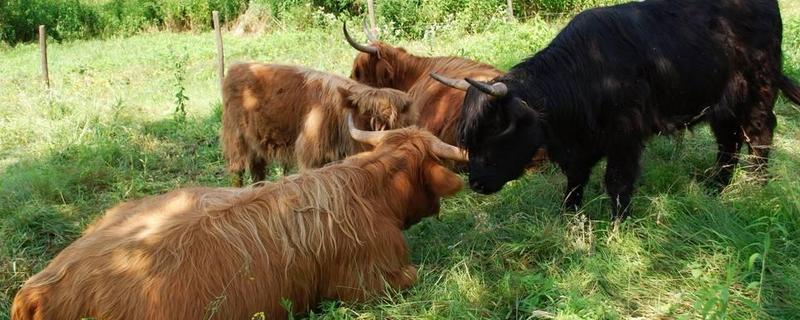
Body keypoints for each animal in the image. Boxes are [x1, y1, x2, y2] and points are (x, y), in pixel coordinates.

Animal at [220, 62, 418, 185]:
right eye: (376, 120)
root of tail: (237, 66)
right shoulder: (310, 157)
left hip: (256, 144)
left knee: (257, 172)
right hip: (236, 139)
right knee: (237, 172)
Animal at [434, 0, 800, 220]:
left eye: (496, 132)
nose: (476, 182)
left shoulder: (626, 136)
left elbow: (618, 181)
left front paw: (618, 223)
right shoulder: (580, 146)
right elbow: (575, 179)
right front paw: (568, 216)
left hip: (758, 91)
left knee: (759, 134)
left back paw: (756, 187)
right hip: (722, 103)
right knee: (728, 141)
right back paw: (715, 186)